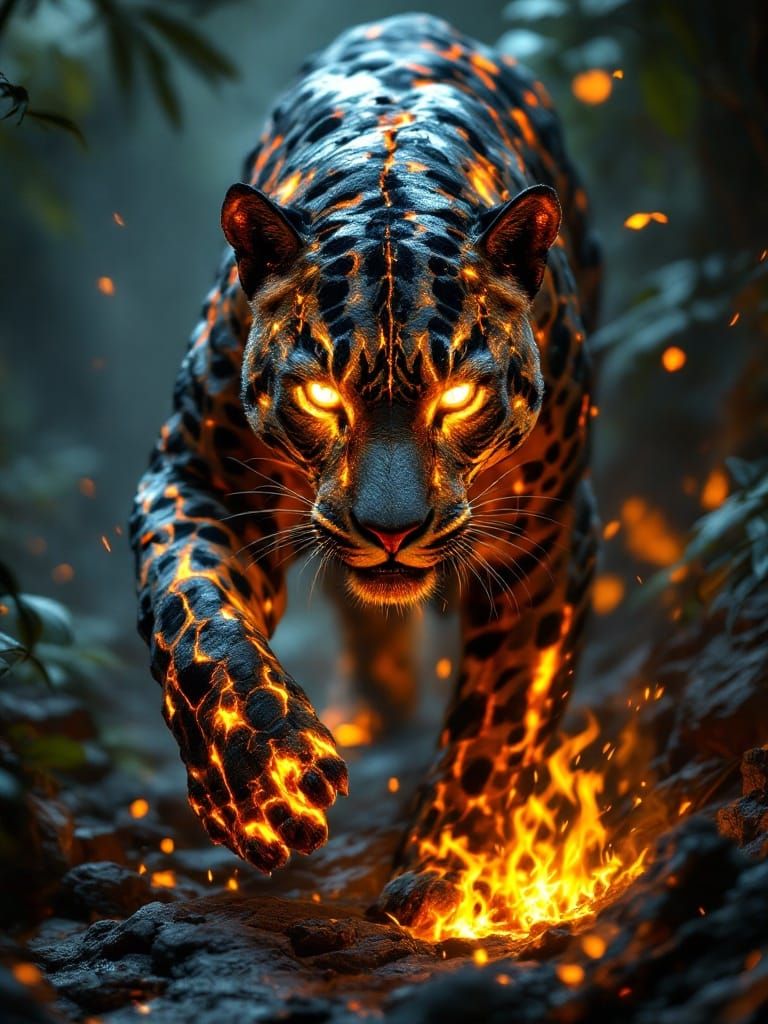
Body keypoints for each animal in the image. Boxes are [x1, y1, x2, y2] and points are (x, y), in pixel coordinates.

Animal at [130, 12, 602, 931]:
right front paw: (260, 786)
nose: (391, 532)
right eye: (320, 394)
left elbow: (500, 723)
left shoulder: (550, 538)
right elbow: (192, 621)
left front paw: (448, 876)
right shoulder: (192, 475)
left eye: (458, 397)